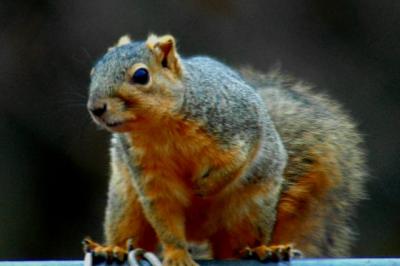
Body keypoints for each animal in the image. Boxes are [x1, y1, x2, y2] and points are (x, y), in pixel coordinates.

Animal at [83, 34, 366, 264]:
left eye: (141, 76)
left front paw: (205, 187)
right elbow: (165, 219)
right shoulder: (149, 176)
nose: (96, 108)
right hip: (125, 203)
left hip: (252, 208)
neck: (160, 127)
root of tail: (202, 236)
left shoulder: (239, 125)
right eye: (94, 71)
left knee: (239, 245)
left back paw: (263, 250)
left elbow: (237, 160)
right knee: (130, 233)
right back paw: (112, 250)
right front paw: (177, 256)